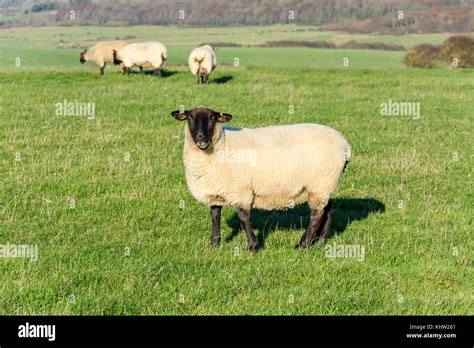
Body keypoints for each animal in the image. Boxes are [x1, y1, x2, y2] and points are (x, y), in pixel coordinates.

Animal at [171, 106, 352, 250]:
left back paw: (302, 244)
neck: (221, 145)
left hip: (320, 182)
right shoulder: (215, 189)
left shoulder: (240, 190)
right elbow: (215, 216)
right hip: (322, 185)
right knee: (327, 210)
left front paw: (252, 246)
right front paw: (214, 243)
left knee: (317, 214)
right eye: (190, 117)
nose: (201, 137)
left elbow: (243, 217)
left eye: (212, 118)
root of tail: (346, 145)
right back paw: (320, 241)